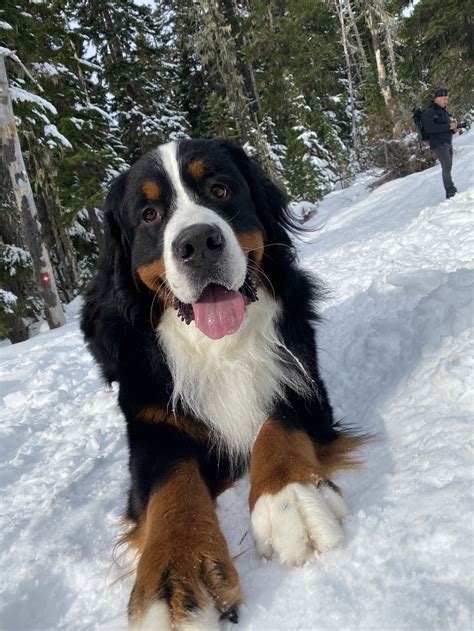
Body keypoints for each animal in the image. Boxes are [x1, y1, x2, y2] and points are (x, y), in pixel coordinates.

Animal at [80, 139, 362, 631]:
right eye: (149, 214)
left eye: (220, 189)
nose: (196, 243)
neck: (218, 346)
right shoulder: (151, 426)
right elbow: (171, 484)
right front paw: (174, 577)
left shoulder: (302, 380)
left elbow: (277, 426)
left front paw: (291, 500)